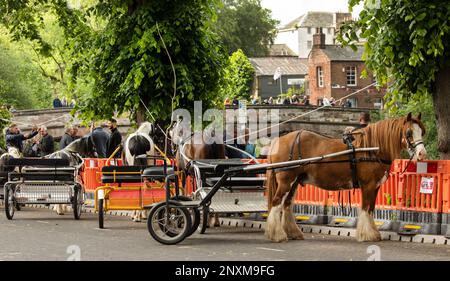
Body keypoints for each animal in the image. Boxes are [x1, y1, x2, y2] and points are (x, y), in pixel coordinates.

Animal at [266, 112, 428, 242]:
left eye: (422, 132)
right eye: (409, 132)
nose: (422, 153)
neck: (372, 149)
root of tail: (279, 140)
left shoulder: (375, 187)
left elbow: (371, 209)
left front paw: (373, 233)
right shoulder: (368, 185)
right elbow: (365, 208)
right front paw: (366, 235)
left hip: (294, 182)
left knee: (286, 204)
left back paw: (292, 233)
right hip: (286, 181)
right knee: (276, 203)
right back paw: (277, 235)